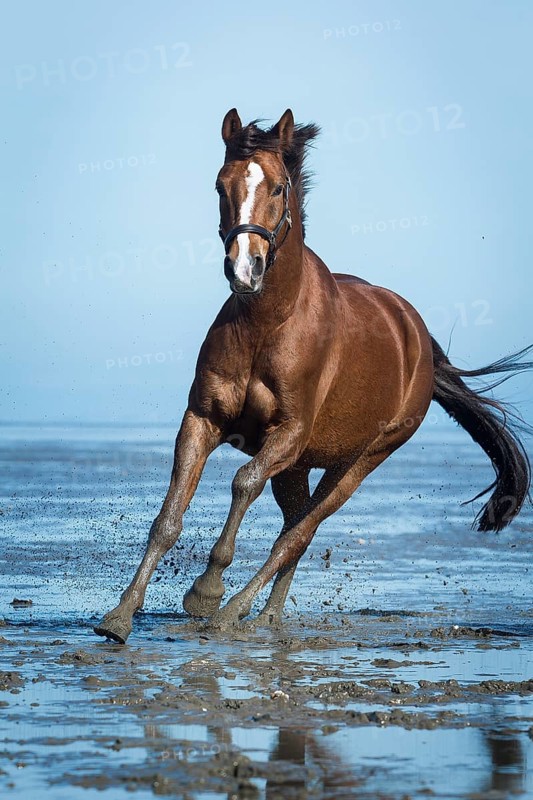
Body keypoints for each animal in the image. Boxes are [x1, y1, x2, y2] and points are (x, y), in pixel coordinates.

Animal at [94, 109, 532, 643]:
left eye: (279, 187)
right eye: (220, 185)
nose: (245, 269)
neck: (267, 324)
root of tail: (416, 338)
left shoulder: (288, 433)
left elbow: (242, 483)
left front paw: (206, 592)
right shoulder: (203, 419)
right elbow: (169, 517)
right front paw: (119, 616)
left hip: (359, 461)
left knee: (300, 531)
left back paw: (233, 611)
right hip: (301, 466)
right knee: (295, 528)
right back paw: (267, 615)